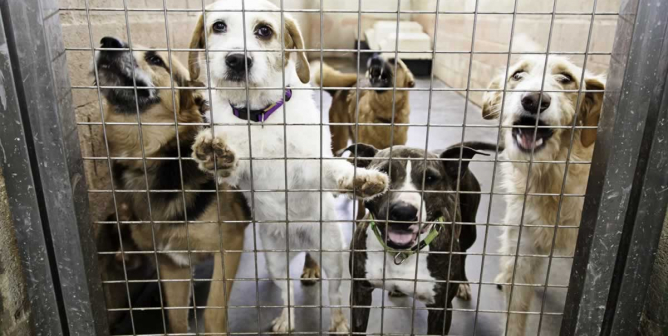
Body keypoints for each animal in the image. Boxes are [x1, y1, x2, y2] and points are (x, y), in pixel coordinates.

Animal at [92, 36, 249, 334]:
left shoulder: (230, 244)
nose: (108, 41)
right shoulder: (172, 262)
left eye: (156, 60)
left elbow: (213, 314)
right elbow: (176, 319)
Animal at [187, 0, 392, 332]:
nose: (237, 60)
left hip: (332, 255)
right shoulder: (241, 170)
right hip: (275, 260)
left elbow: (334, 170)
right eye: (218, 26)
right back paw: (286, 319)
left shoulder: (310, 166)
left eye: (264, 30)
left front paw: (361, 179)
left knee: (334, 295)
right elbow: (230, 161)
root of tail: (297, 240)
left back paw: (338, 321)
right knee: (287, 294)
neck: (261, 116)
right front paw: (214, 153)